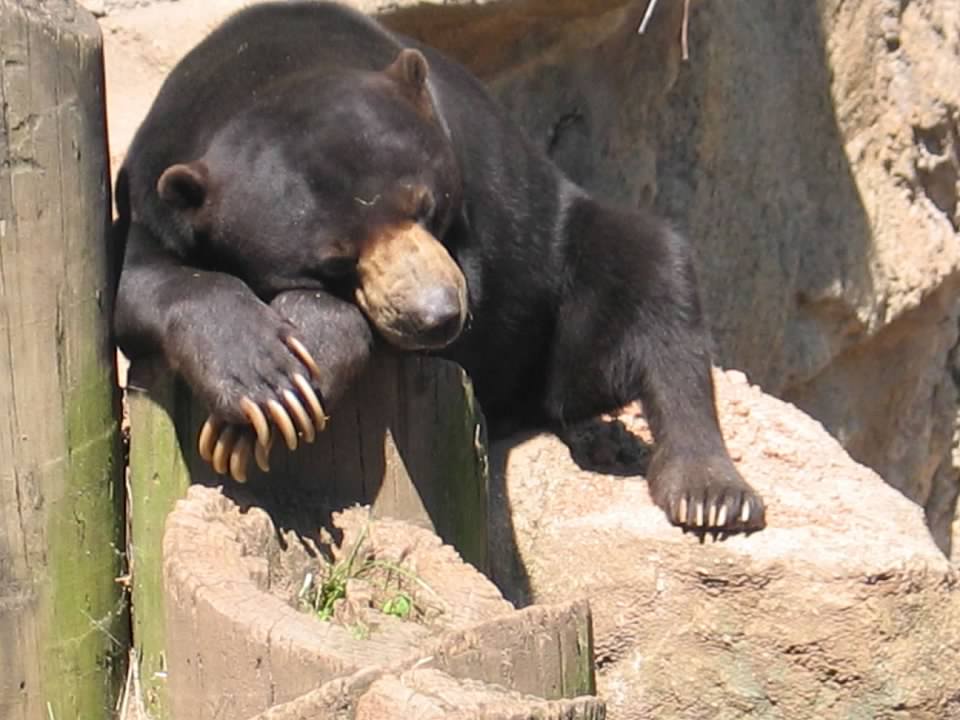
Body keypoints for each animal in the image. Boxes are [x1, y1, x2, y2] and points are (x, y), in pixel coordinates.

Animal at [113, 1, 765, 532]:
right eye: (334, 260)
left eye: (424, 205)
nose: (436, 316)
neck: (268, 68)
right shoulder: (153, 195)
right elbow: (140, 286)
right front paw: (264, 383)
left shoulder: (473, 213)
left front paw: (263, 412)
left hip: (567, 258)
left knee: (655, 282)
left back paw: (708, 492)